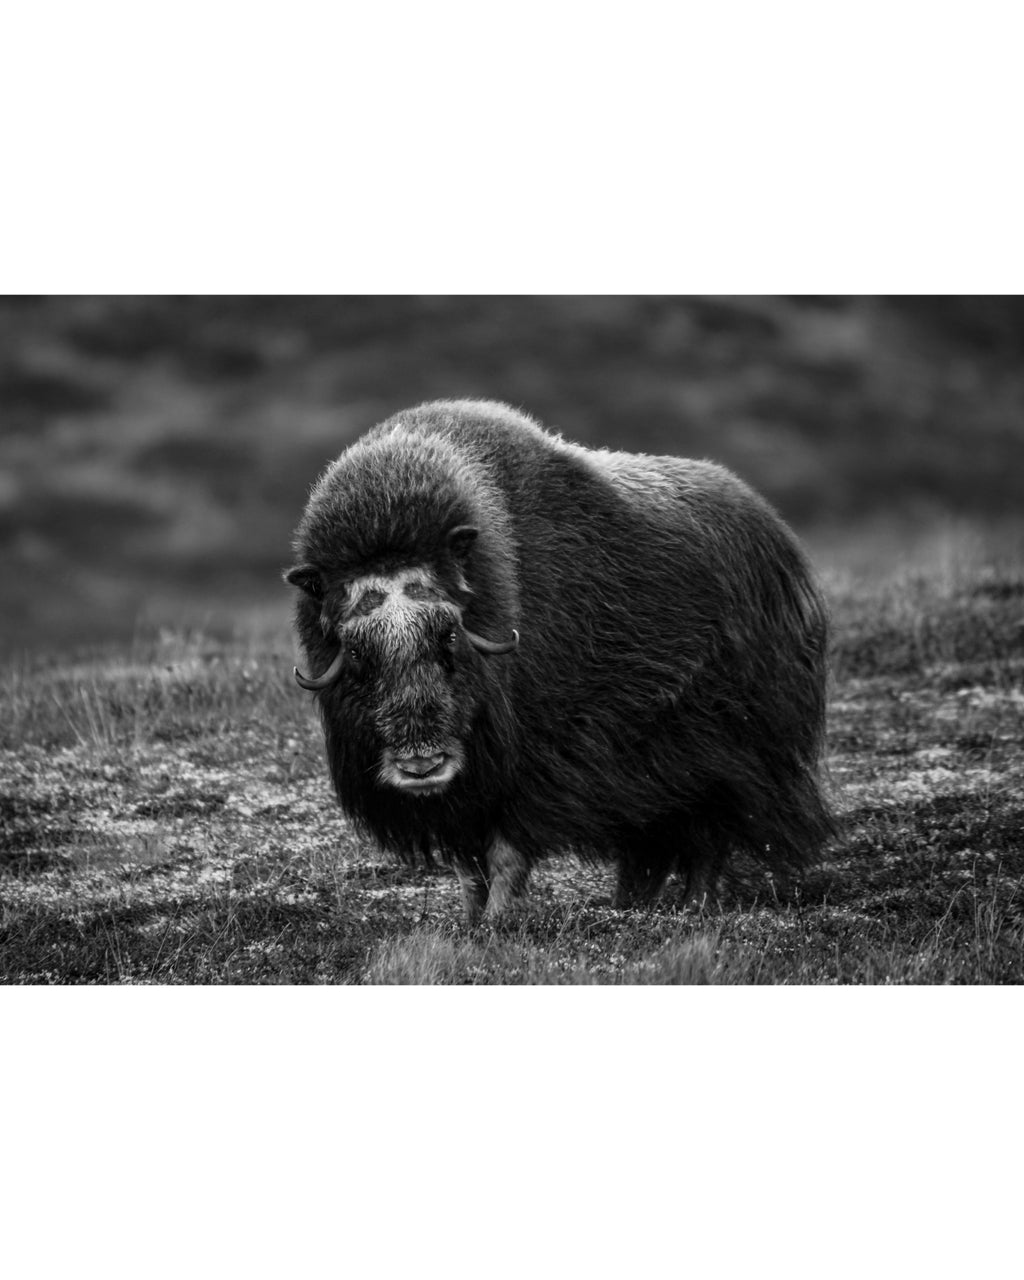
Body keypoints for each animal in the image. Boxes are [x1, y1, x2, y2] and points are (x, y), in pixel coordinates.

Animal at [285, 399, 833, 923]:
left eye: (449, 635)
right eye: (358, 652)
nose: (422, 764)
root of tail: (776, 532)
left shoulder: (538, 764)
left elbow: (507, 850)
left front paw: (497, 921)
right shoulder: (467, 795)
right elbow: (468, 866)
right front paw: (469, 919)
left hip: (731, 753)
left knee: (710, 834)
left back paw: (693, 905)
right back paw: (632, 904)